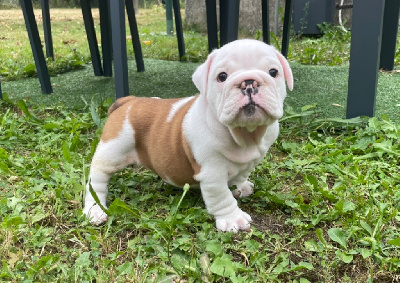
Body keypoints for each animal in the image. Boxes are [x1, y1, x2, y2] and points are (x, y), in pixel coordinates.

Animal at [82, 38, 294, 233]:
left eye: (273, 72)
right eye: (222, 76)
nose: (249, 82)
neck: (245, 133)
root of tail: (128, 102)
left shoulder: (248, 161)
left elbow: (241, 173)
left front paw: (240, 186)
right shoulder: (212, 173)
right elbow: (222, 197)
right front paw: (233, 218)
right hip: (113, 150)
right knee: (97, 179)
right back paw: (95, 210)